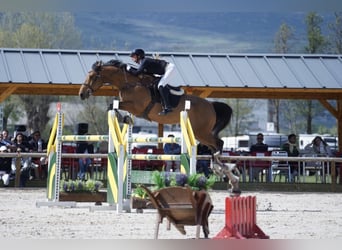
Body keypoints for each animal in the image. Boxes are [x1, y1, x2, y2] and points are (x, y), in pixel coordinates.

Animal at [78, 59, 240, 193]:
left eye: (93, 76)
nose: (82, 94)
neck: (130, 83)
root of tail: (211, 105)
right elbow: (113, 106)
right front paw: (126, 119)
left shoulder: (137, 107)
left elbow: (113, 104)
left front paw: (123, 117)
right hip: (200, 133)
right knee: (214, 147)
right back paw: (227, 174)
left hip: (201, 131)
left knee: (219, 143)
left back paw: (222, 168)